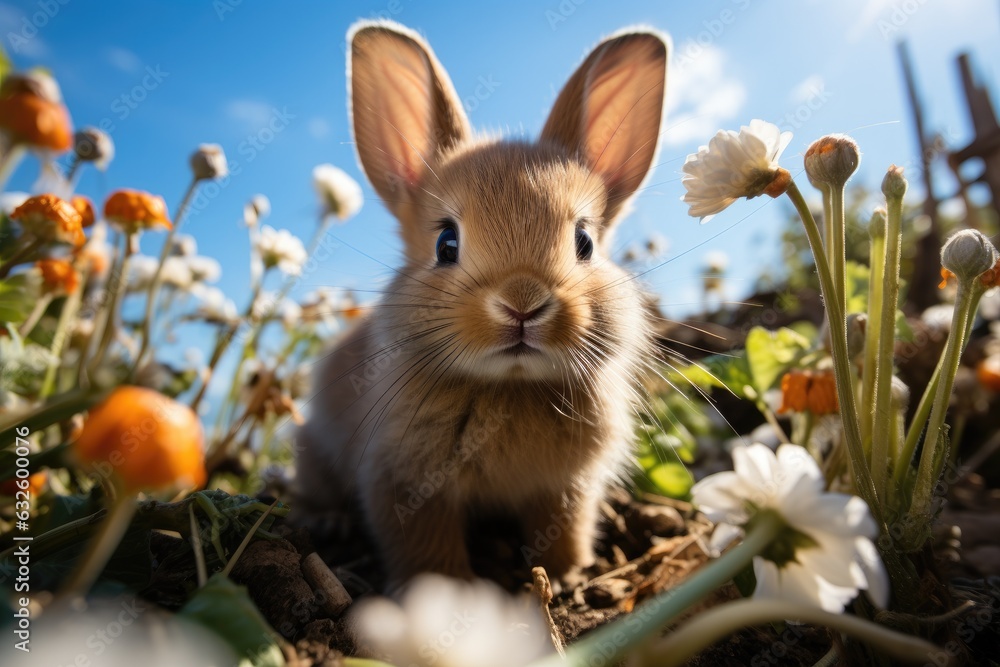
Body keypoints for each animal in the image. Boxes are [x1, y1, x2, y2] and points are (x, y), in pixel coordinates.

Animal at [294, 19, 668, 592]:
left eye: (584, 242)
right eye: (446, 243)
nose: (522, 304)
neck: (509, 386)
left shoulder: (567, 488)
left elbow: (563, 528)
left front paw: (565, 575)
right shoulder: (403, 483)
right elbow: (425, 543)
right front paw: (447, 591)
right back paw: (329, 522)